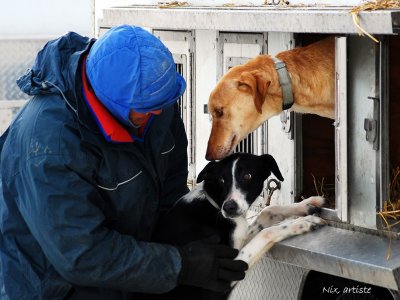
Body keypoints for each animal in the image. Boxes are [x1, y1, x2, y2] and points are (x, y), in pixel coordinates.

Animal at [152, 154, 324, 298]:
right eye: (221, 180)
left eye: (247, 176)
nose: (229, 207)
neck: (214, 206)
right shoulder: (224, 275)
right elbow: (265, 233)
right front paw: (301, 223)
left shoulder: (240, 237)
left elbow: (267, 211)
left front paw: (305, 205)